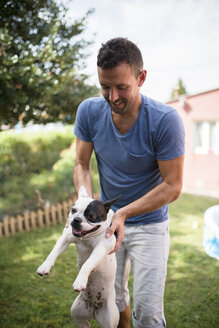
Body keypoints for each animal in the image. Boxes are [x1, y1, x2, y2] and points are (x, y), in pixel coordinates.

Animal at [36, 187, 120, 328]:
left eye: (91, 216)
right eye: (73, 210)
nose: (76, 219)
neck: (86, 238)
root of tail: (94, 308)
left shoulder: (102, 247)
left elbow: (88, 263)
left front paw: (80, 280)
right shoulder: (65, 238)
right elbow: (53, 252)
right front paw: (45, 266)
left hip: (109, 320)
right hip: (77, 314)